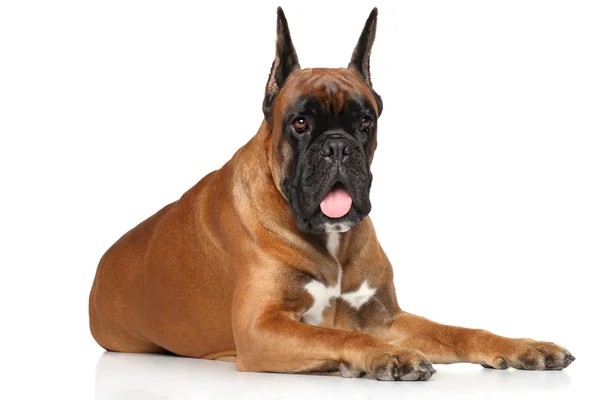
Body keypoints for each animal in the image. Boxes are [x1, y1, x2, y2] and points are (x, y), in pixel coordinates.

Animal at [88, 7, 572, 380]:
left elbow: (458, 332)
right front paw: (382, 357)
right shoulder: (260, 329)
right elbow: (335, 332)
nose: (337, 146)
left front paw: (525, 346)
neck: (330, 239)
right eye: (301, 123)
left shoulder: (386, 317)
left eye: (365, 122)